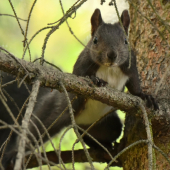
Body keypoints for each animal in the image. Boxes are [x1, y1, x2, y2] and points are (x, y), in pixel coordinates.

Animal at [0, 8, 158, 169]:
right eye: (95, 40)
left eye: (126, 41)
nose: (112, 55)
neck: (110, 68)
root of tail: (77, 120)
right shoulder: (83, 63)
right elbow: (78, 77)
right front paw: (95, 80)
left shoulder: (131, 66)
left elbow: (135, 86)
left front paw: (145, 96)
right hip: (53, 112)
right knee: (33, 131)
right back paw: (13, 153)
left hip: (104, 126)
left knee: (97, 134)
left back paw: (104, 148)